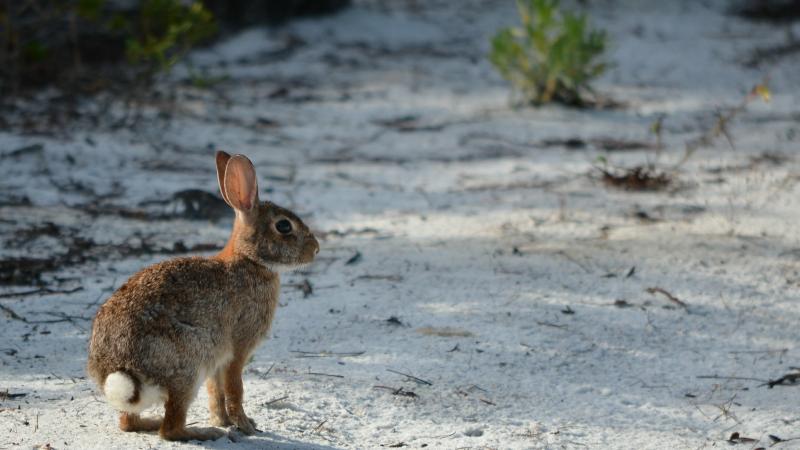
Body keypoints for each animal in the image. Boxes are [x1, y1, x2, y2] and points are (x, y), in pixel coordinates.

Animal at [86, 150, 318, 440]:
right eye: (284, 226)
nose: (315, 249)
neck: (250, 260)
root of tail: (118, 369)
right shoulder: (237, 348)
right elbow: (235, 389)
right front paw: (245, 426)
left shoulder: (218, 361)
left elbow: (216, 393)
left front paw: (224, 421)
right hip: (189, 363)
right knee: (170, 430)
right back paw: (204, 433)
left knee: (129, 423)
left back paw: (156, 422)